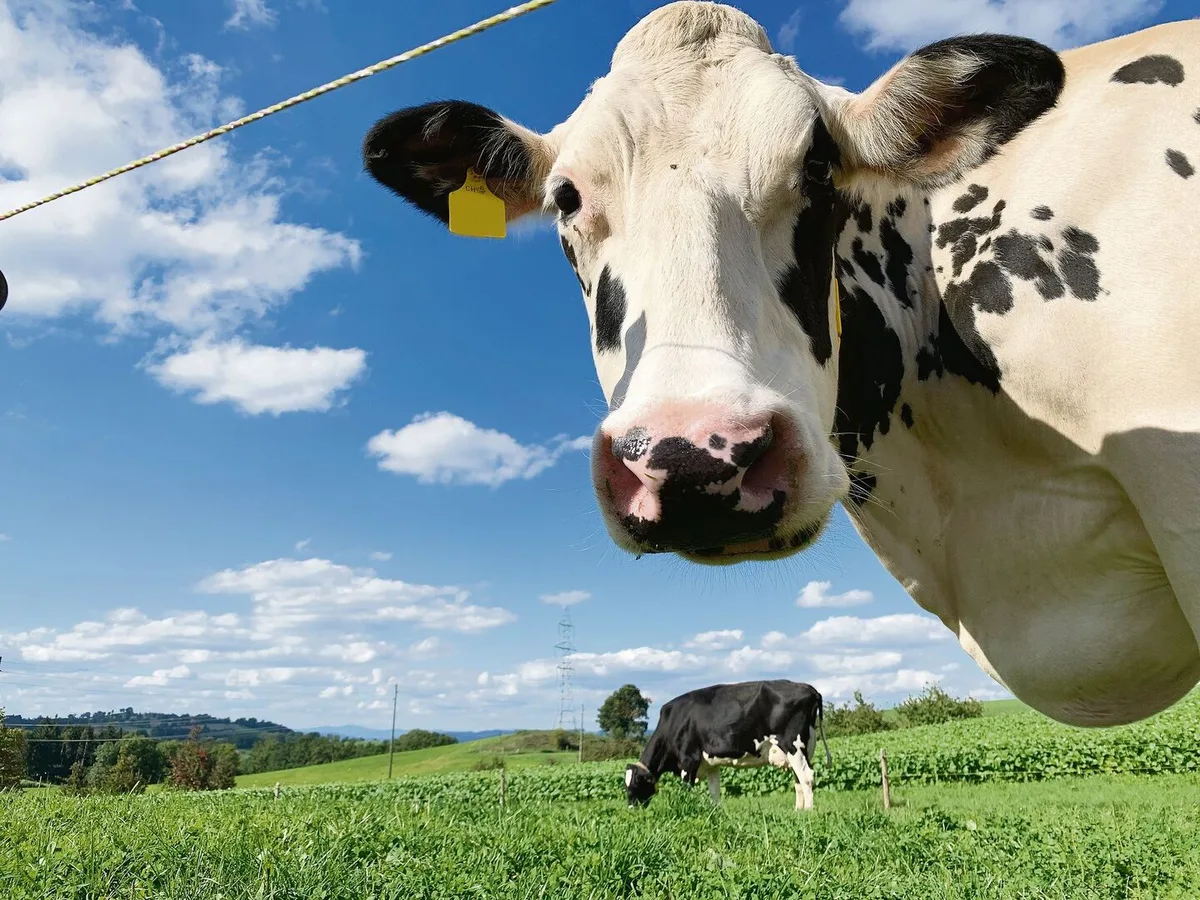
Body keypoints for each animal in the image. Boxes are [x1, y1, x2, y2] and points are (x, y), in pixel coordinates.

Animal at [624, 679, 831, 810]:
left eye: (636, 783)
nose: (631, 809)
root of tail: (810, 689)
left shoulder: (688, 760)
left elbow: (686, 790)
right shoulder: (711, 765)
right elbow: (714, 792)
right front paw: (715, 813)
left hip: (792, 744)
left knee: (806, 776)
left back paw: (808, 811)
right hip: (803, 748)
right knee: (798, 779)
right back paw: (798, 810)